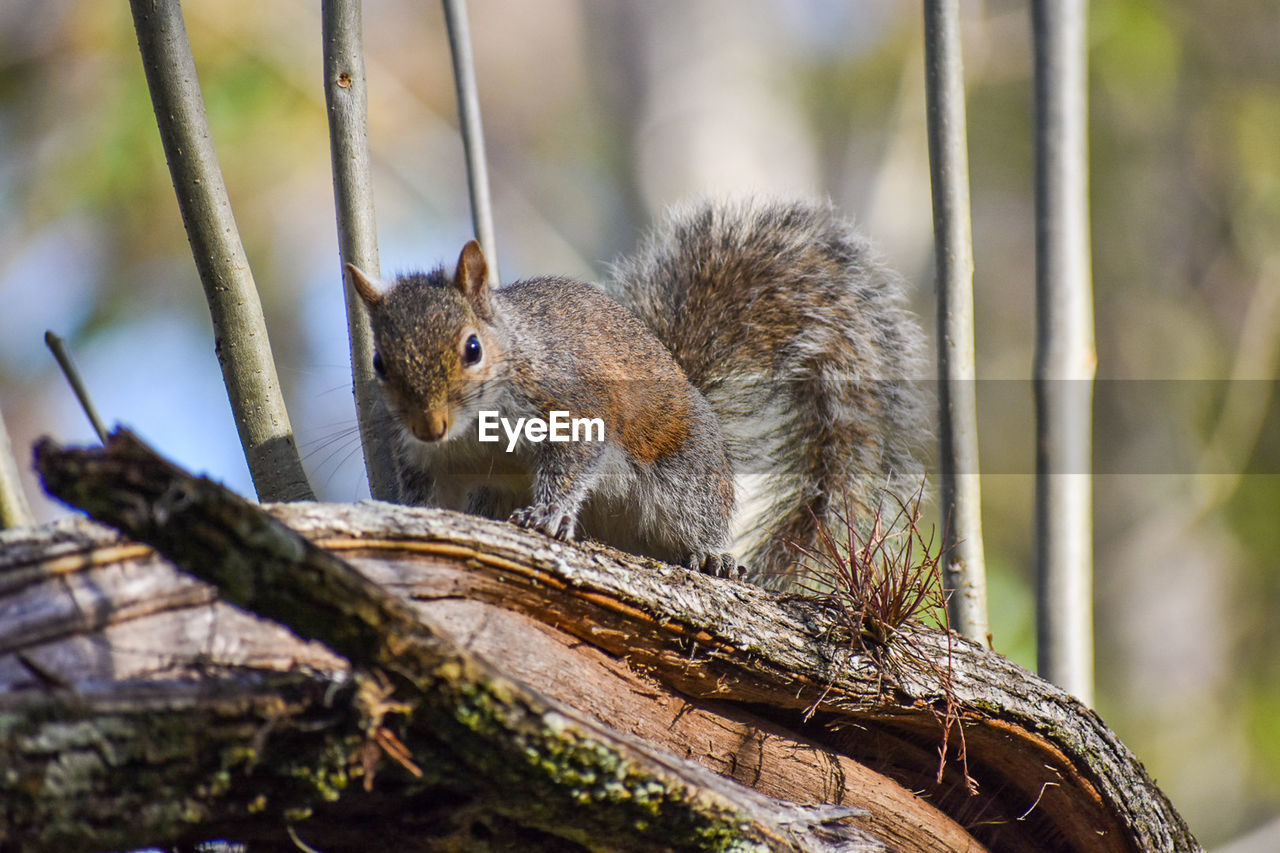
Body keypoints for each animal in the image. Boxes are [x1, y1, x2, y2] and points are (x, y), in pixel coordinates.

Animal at [350, 197, 926, 589]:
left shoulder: (571, 403)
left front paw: (547, 514)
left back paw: (714, 555)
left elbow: (572, 463)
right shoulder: (431, 461)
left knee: (699, 519)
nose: (430, 426)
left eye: (472, 348)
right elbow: (428, 495)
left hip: (685, 477)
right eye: (379, 362)